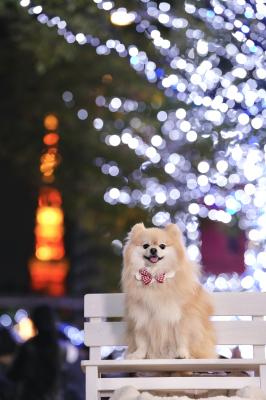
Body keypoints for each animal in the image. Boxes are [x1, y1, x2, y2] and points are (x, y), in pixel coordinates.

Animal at [121, 222, 217, 360]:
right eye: (145, 245)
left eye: (162, 246)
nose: (153, 250)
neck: (154, 277)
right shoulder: (141, 317)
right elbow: (142, 340)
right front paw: (138, 355)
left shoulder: (181, 318)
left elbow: (181, 338)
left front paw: (182, 354)